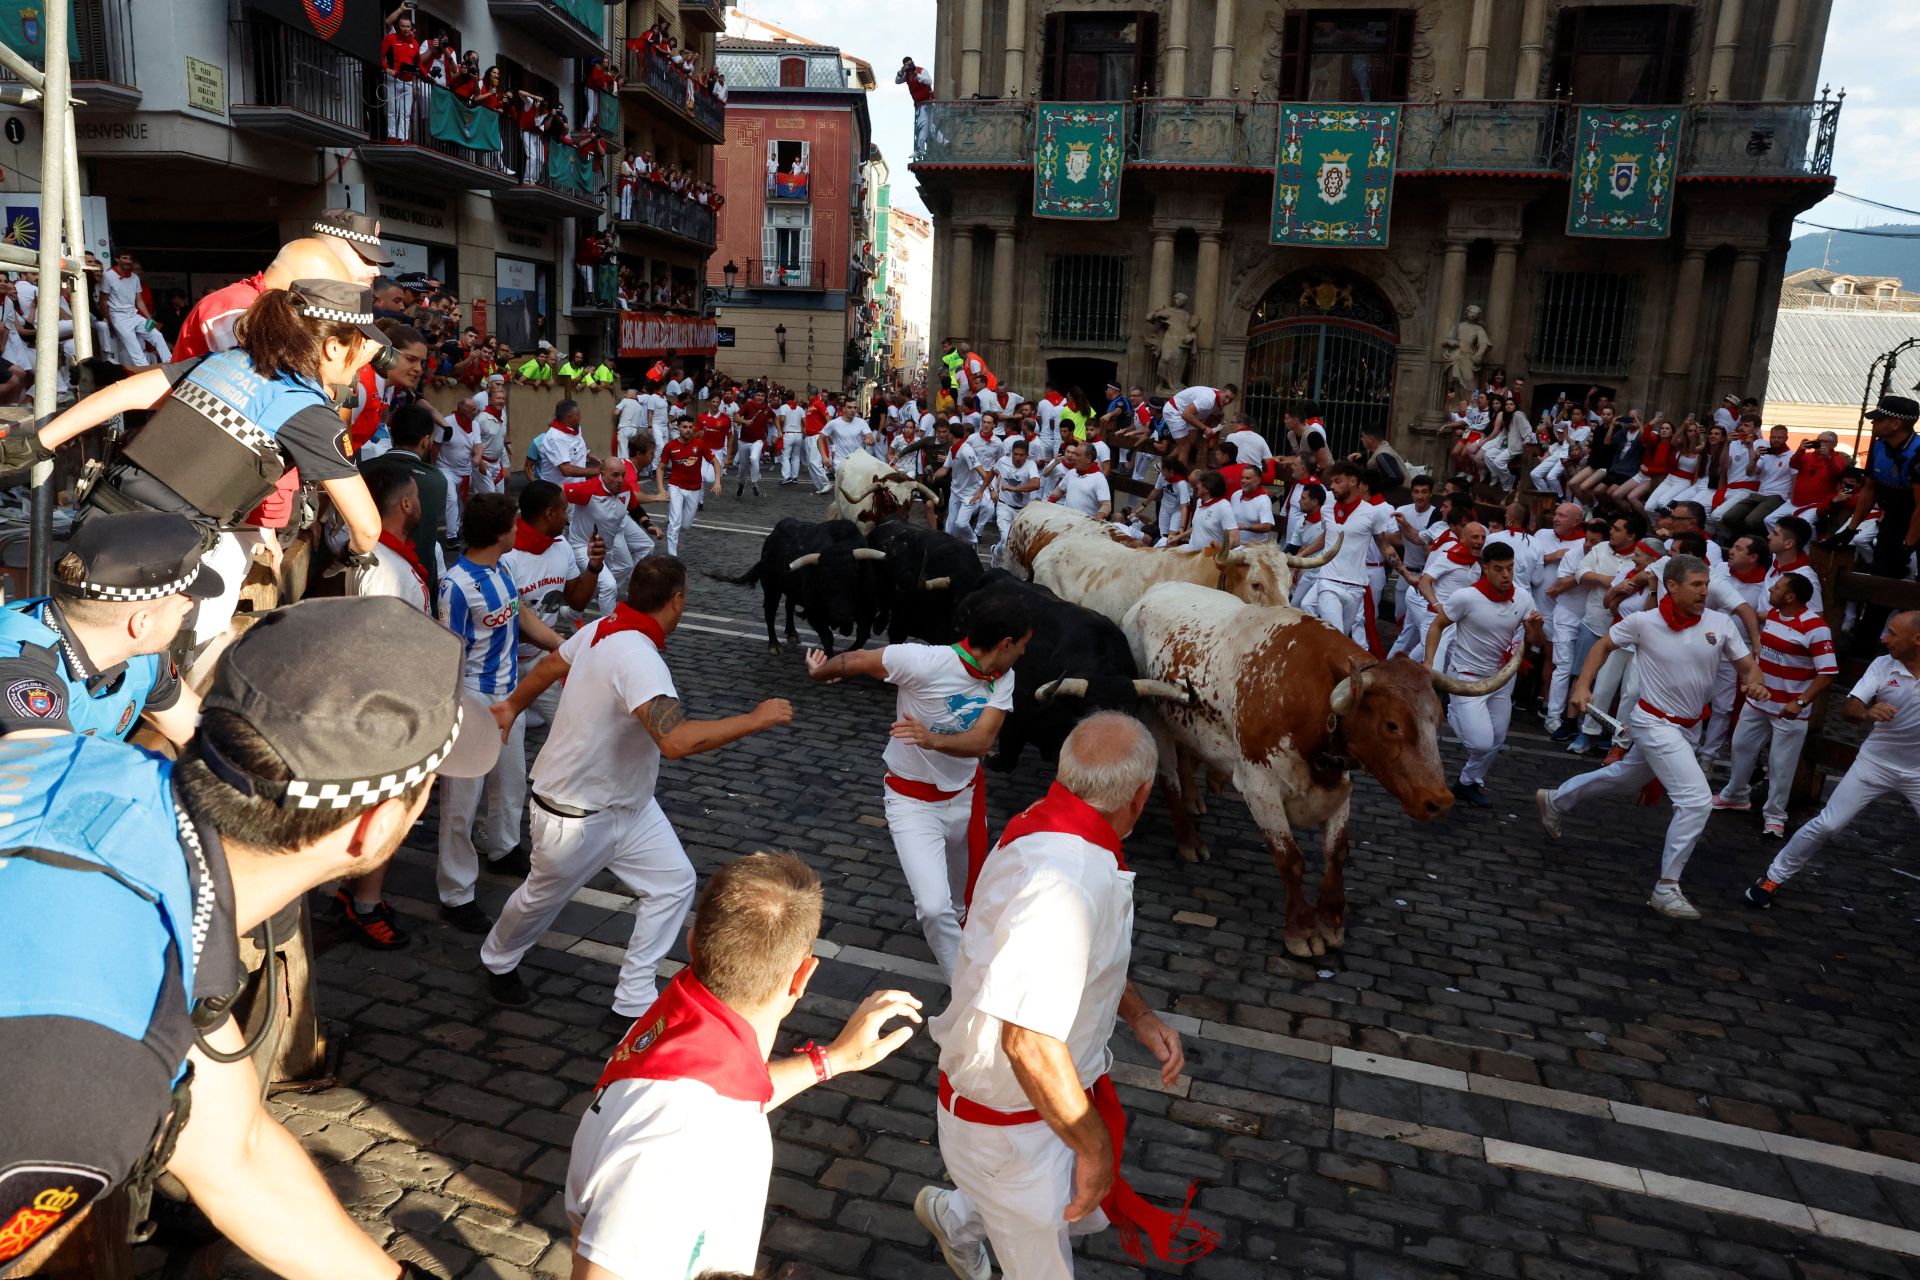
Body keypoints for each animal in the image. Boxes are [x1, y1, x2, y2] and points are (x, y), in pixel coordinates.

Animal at [714, 514, 883, 656]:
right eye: (823, 581)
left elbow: (862, 636)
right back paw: (774, 645)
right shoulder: (814, 613)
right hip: (771, 588)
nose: (841, 615)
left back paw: (791, 633)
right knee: (770, 612)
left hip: (791, 589)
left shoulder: (867, 610)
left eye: (854, 579)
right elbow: (827, 637)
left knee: (789, 605)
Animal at [1121, 587, 1512, 955]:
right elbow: (1291, 860)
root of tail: (1150, 595)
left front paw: (1332, 920)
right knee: (1169, 778)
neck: (1306, 699)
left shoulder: (1339, 787)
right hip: (1155, 720)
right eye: (1391, 725)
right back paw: (1189, 840)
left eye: (1440, 718)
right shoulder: (1258, 786)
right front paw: (1303, 931)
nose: (1439, 801)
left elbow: (1337, 853)